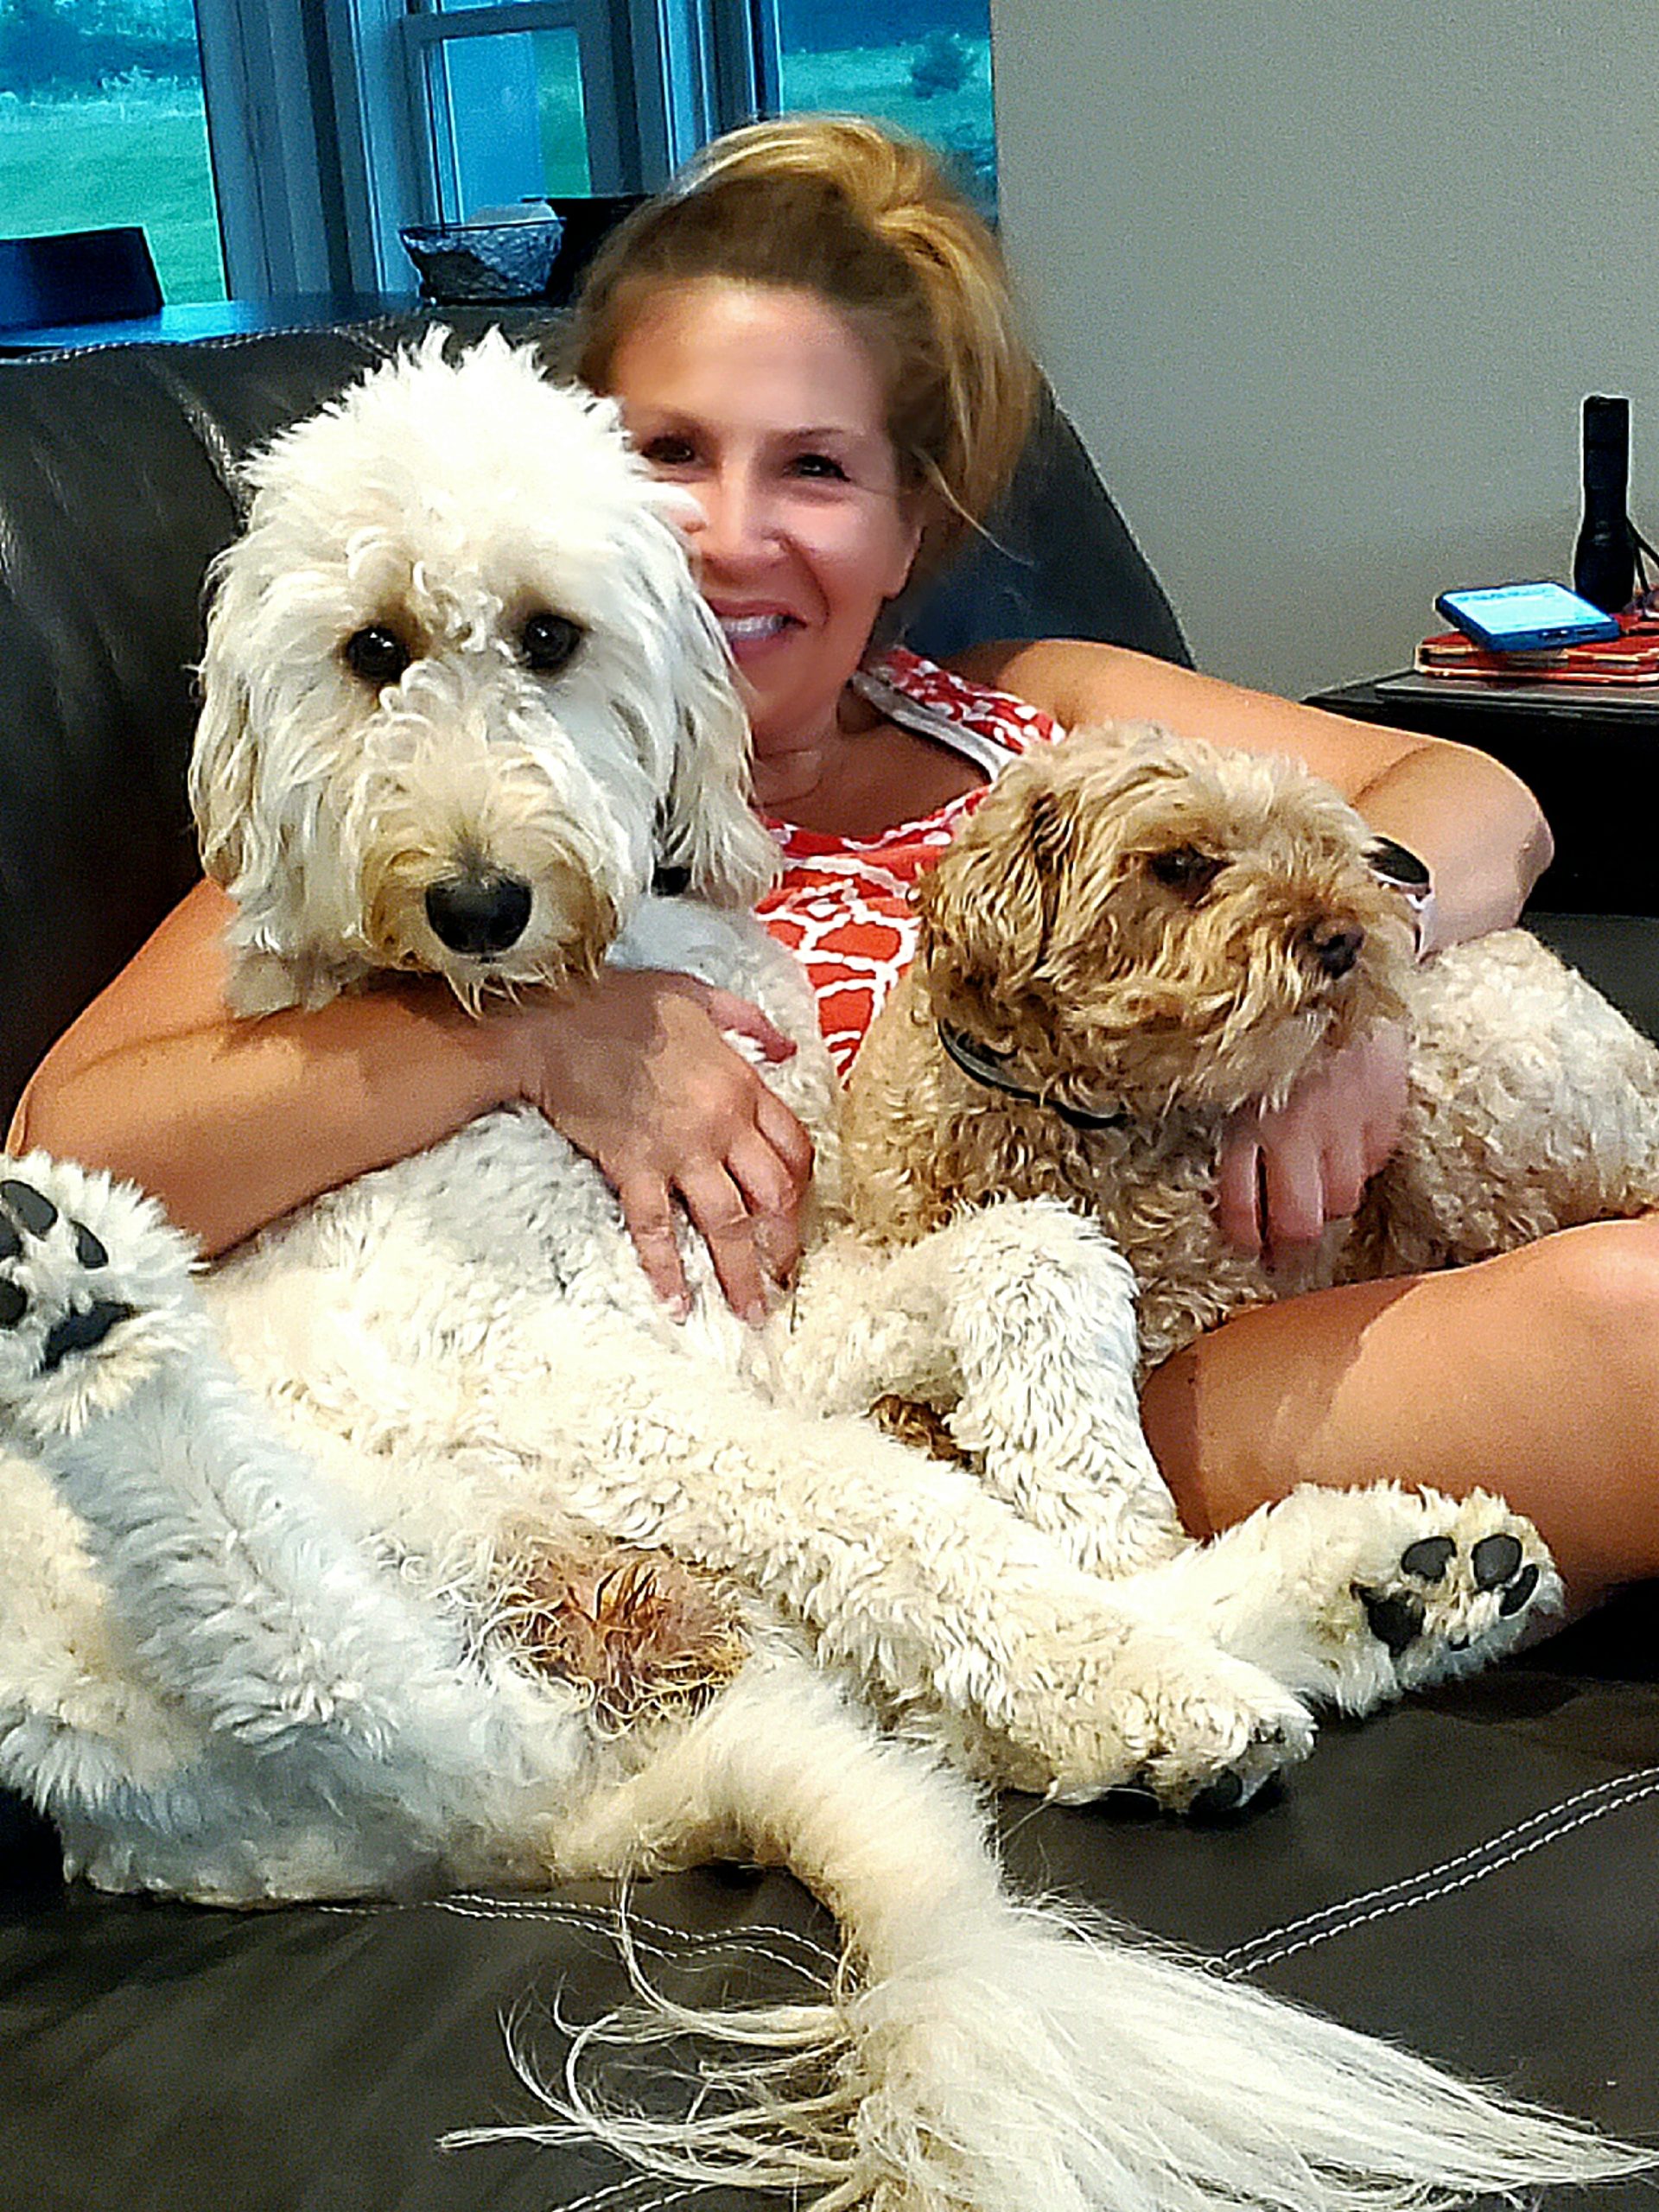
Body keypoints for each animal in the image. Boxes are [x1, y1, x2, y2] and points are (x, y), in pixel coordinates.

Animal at [845, 719, 1659, 1381]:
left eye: (1315, 842)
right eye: (1179, 864)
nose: (1344, 938)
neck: (1056, 1111)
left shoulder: (1193, 1293)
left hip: (1457, 1109)